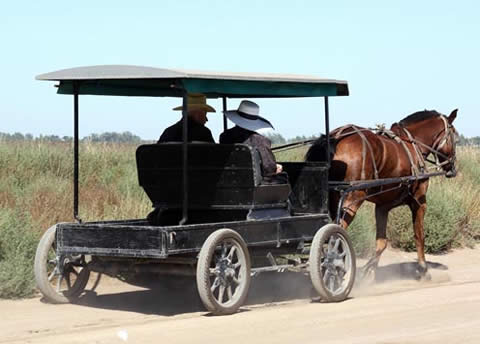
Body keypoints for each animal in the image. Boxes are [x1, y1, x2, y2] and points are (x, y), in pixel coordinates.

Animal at [306, 109, 460, 280]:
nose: (452, 167)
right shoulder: (419, 202)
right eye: (454, 136)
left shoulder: (382, 207)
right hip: (352, 199)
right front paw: (423, 269)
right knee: (336, 235)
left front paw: (369, 272)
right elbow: (419, 236)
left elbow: (381, 243)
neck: (412, 145)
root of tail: (336, 136)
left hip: (334, 199)